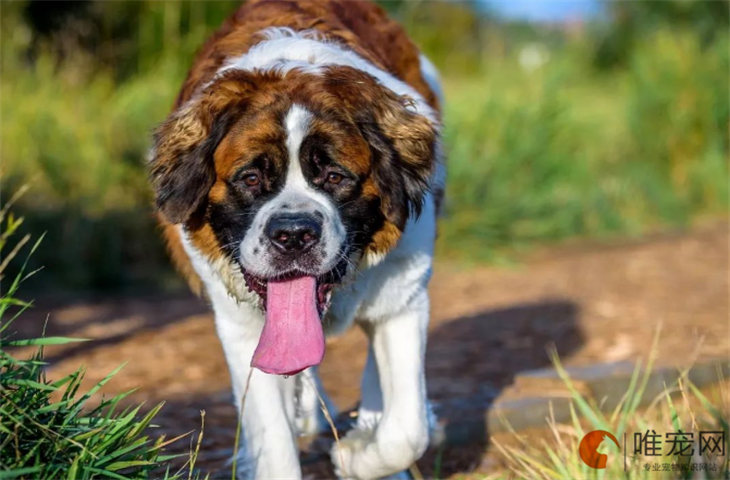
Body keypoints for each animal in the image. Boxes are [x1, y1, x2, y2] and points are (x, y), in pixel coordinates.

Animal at [149, 1, 444, 478]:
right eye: (251, 178)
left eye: (335, 177)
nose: (292, 234)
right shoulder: (242, 330)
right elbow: (274, 439)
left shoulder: (403, 298)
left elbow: (407, 431)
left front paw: (357, 455)